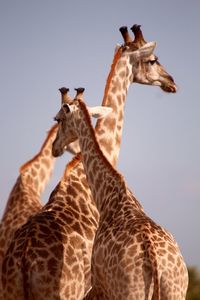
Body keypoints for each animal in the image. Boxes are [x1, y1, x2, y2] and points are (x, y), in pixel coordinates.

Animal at [52, 94, 188, 300]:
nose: (54, 147)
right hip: (175, 289)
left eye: (58, 119)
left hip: (130, 291)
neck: (107, 197)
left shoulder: (99, 283)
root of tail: (155, 259)